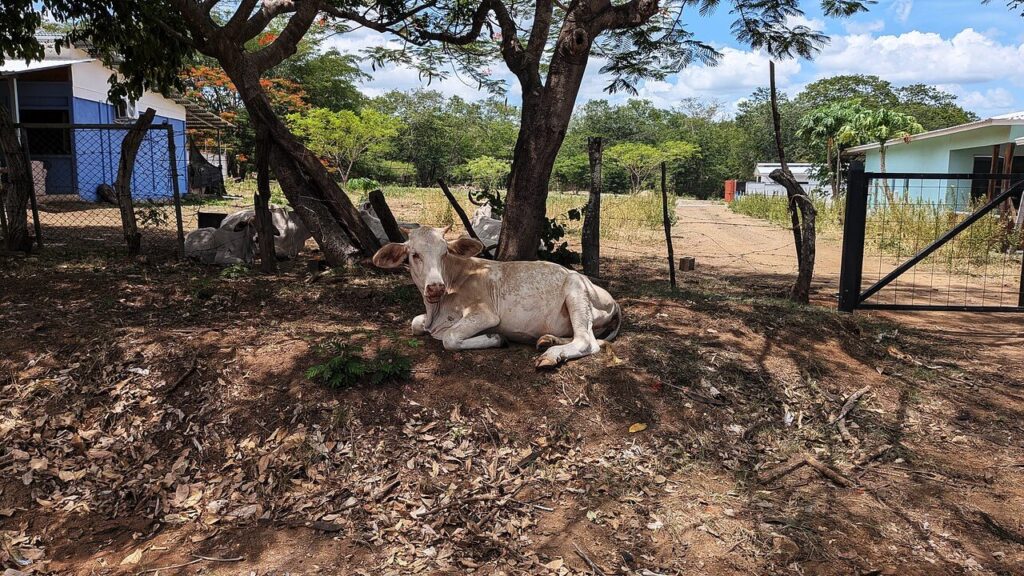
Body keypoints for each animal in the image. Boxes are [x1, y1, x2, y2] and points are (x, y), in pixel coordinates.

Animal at [372, 226, 621, 368]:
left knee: (586, 341)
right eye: (414, 255)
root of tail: (612, 300)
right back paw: (548, 340)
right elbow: (415, 323)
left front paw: (495, 338)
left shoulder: (485, 314)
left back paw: (551, 355)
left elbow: (449, 338)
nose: (435, 287)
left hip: (575, 290)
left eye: (444, 253)